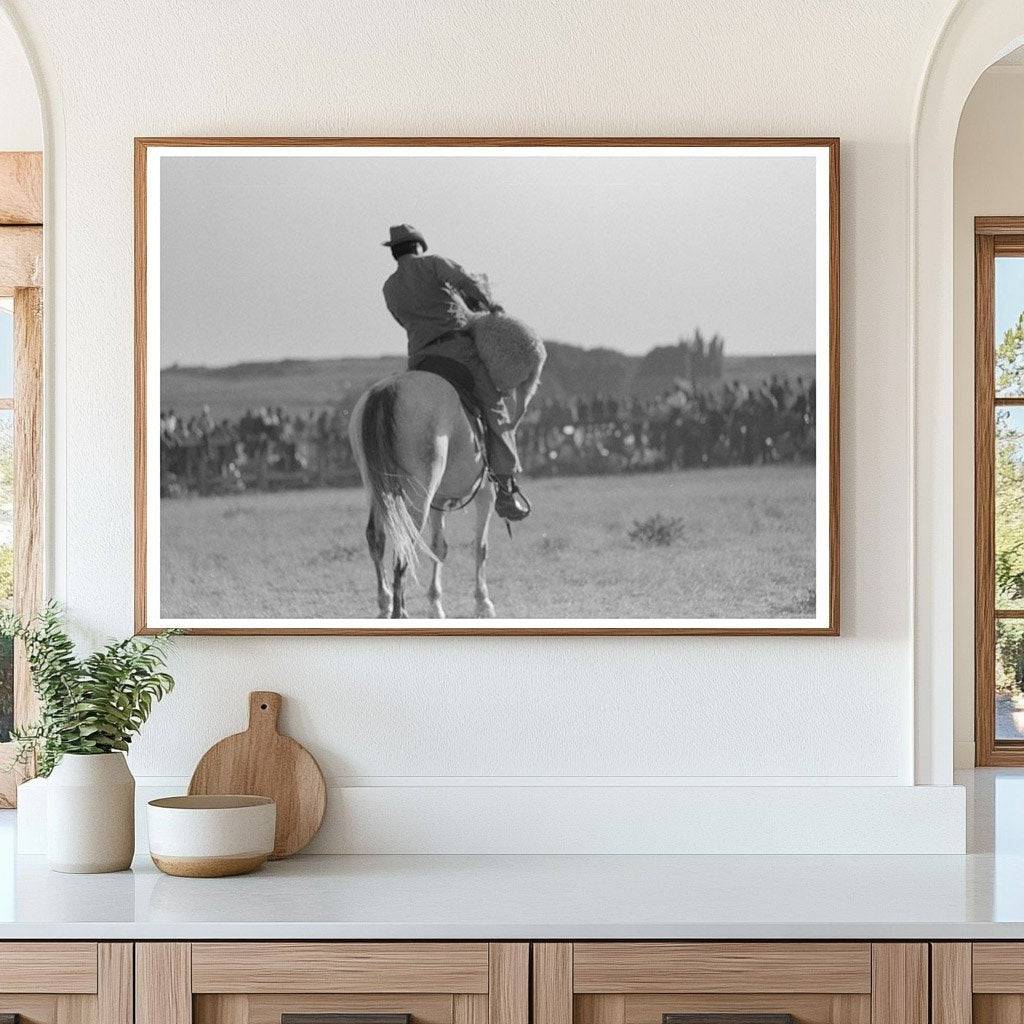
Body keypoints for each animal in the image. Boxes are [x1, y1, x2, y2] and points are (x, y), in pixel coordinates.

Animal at [350, 372, 497, 618]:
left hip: (379, 491)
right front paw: (483, 602)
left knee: (376, 538)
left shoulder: (438, 502)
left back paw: (385, 603)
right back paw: (399, 611)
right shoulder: (486, 492)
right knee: (404, 541)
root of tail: (389, 389)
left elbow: (439, 547)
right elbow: (480, 546)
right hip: (419, 496)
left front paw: (435, 604)